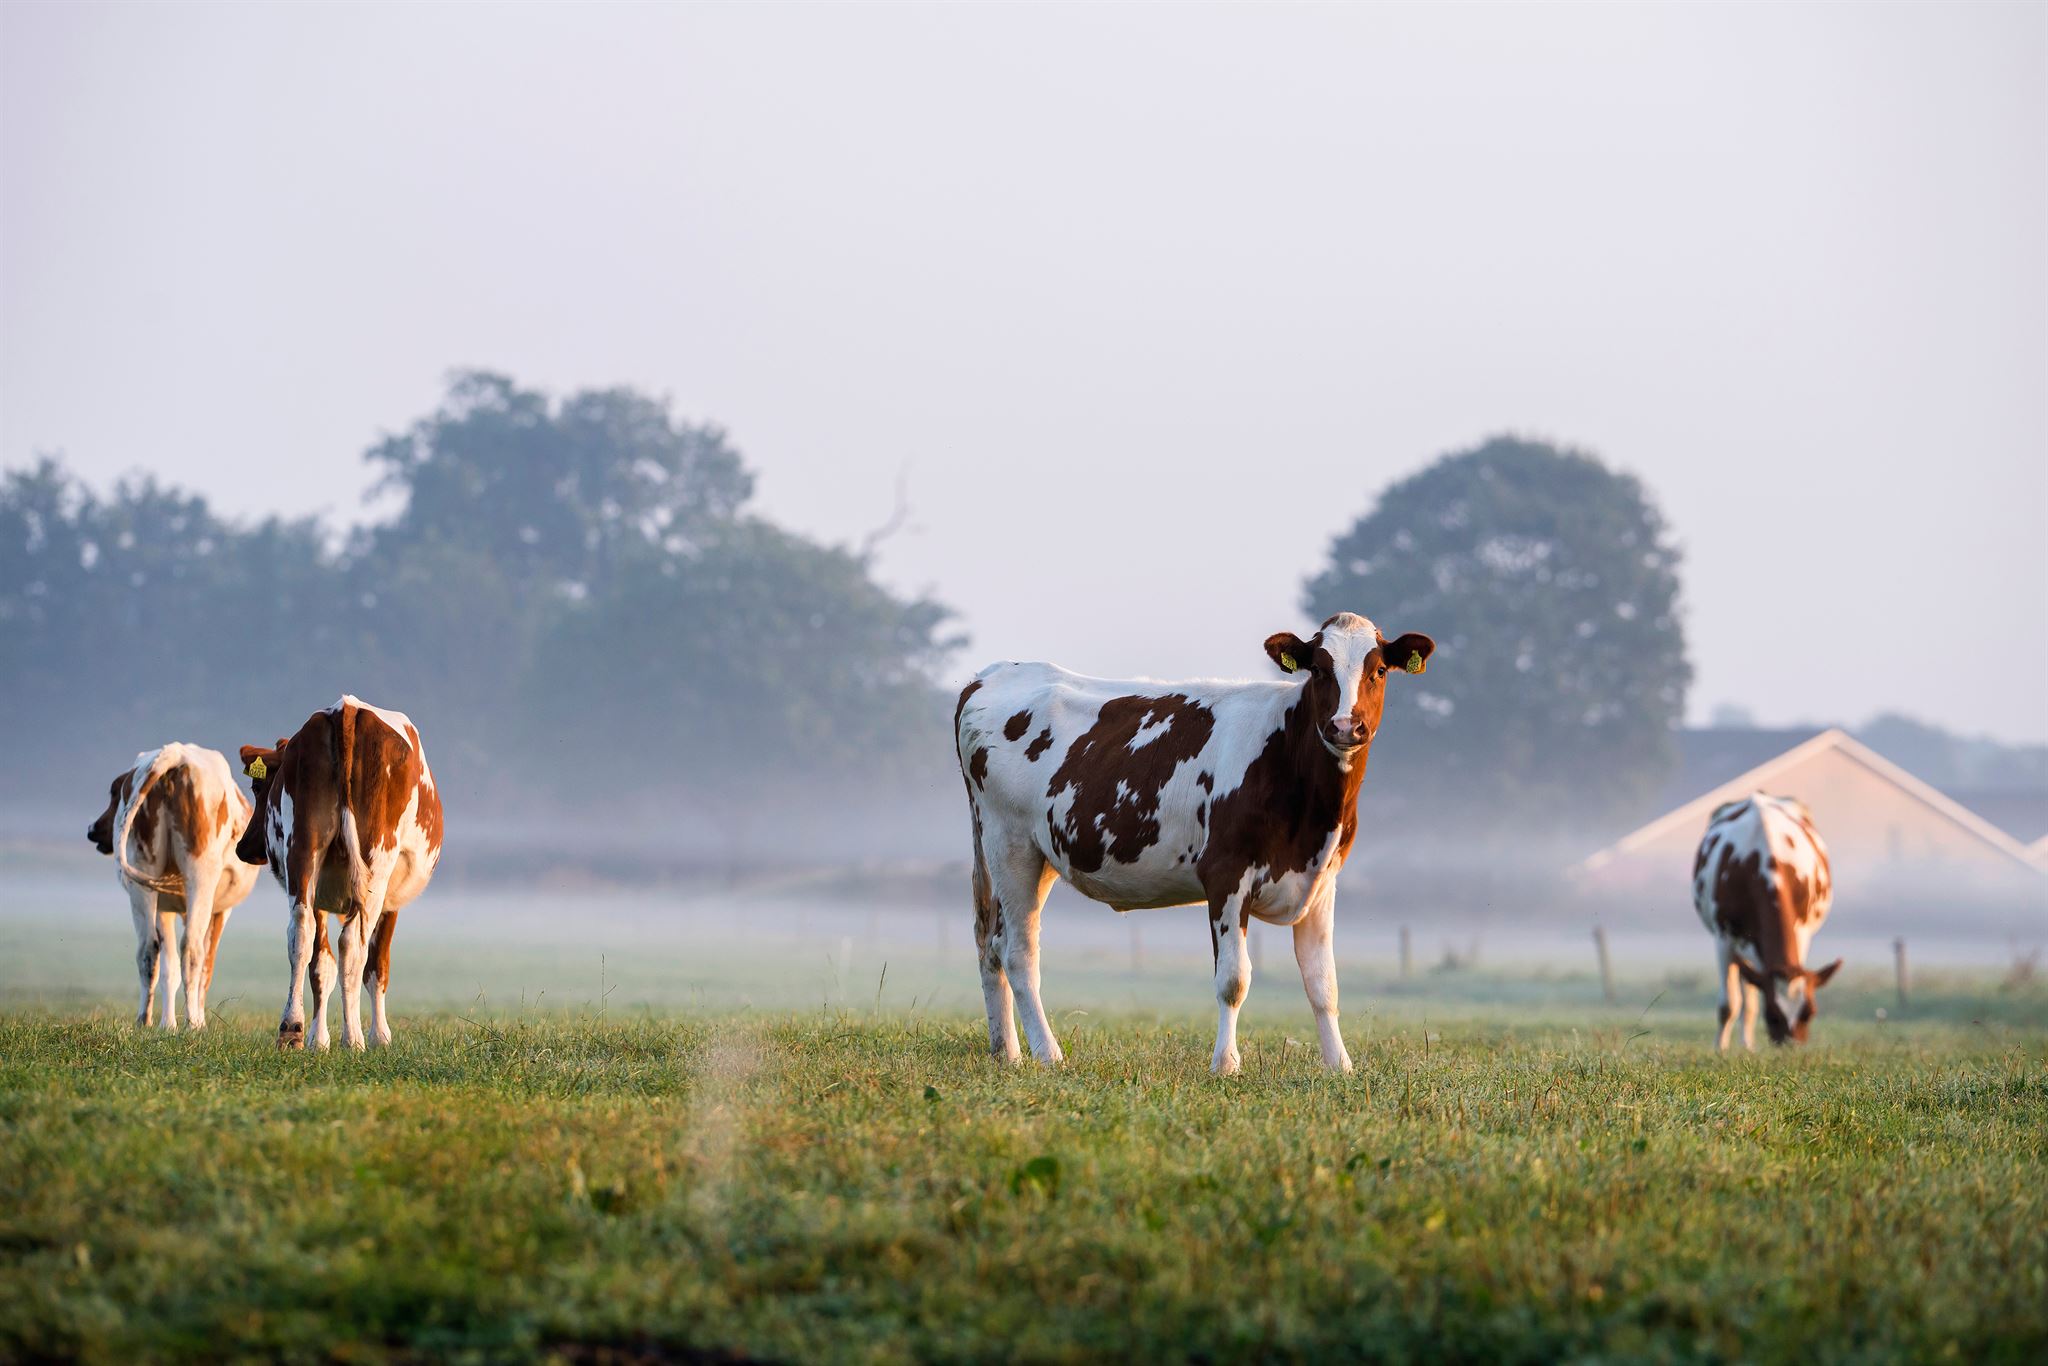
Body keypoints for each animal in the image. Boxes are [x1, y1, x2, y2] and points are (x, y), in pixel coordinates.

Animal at [87, 741, 260, 1032]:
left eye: (113, 794)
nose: (93, 829)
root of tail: (175, 753)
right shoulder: (220, 910)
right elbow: (206, 965)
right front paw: (196, 1020)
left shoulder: (164, 908)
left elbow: (169, 968)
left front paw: (167, 1024)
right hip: (200, 874)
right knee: (191, 949)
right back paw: (193, 1024)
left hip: (142, 875)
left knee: (148, 950)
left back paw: (144, 1020)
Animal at [235, 700, 444, 1056]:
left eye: (257, 786)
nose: (244, 847)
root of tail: (345, 709)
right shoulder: (390, 901)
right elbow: (377, 967)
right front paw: (379, 1037)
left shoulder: (319, 891)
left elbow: (321, 965)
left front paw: (318, 1039)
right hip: (375, 862)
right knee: (353, 945)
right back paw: (353, 1038)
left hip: (303, 850)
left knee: (301, 933)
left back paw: (291, 1029)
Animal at [950, 614, 1433, 1073]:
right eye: (1317, 669)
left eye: (1379, 671)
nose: (1346, 726)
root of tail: (992, 673)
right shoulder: (1226, 873)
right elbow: (1234, 980)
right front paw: (1226, 1064)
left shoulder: (1321, 880)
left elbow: (1323, 983)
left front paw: (1339, 1064)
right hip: (1010, 844)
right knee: (1017, 953)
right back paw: (1047, 1053)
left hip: (1038, 854)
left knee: (990, 944)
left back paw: (1007, 1051)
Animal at [1687, 794, 1851, 1056]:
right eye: (1772, 1015)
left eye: (1809, 1013)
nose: (1791, 1049)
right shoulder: (1723, 938)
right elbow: (1728, 1004)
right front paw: (1720, 1050)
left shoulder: (1801, 931)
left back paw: (1747, 1044)